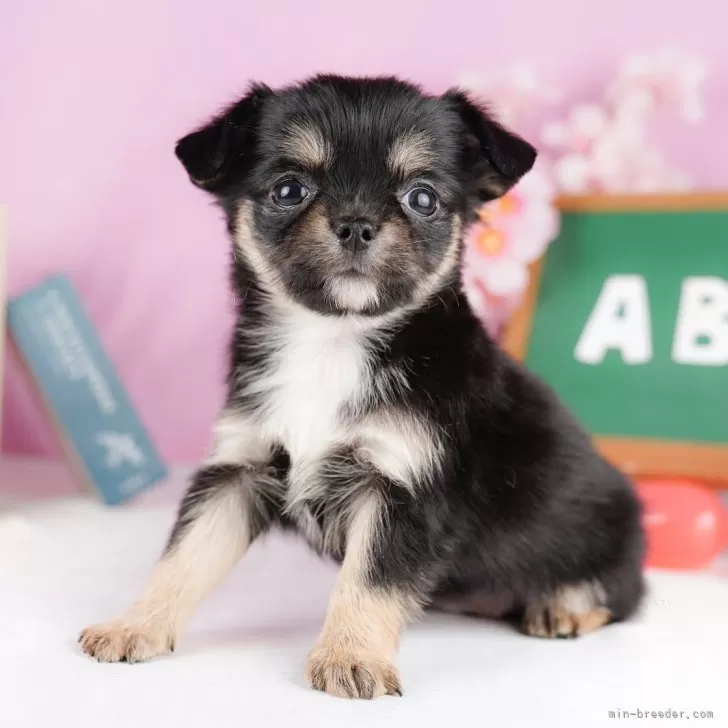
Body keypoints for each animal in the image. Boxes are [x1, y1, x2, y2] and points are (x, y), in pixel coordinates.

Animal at [79, 75, 644, 700]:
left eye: (422, 198)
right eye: (289, 190)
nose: (355, 224)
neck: (333, 340)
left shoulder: (404, 487)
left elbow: (369, 582)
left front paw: (350, 657)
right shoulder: (239, 469)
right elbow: (183, 556)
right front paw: (135, 624)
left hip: (606, 529)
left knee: (619, 591)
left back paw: (562, 605)